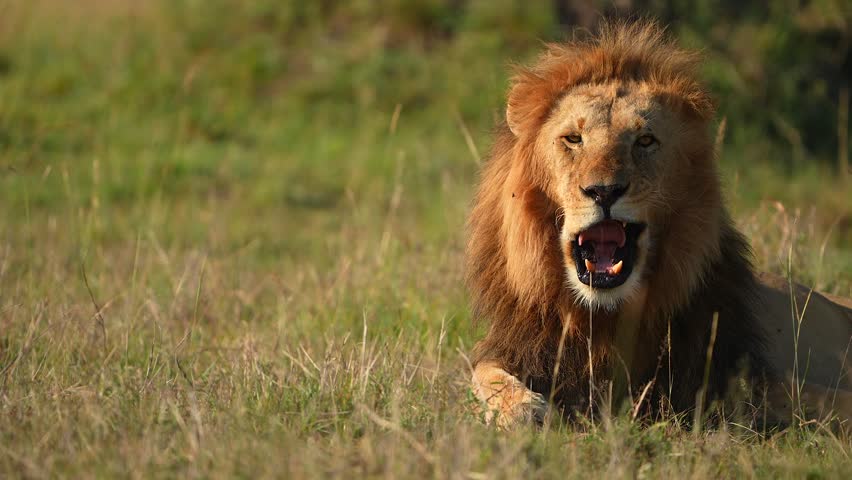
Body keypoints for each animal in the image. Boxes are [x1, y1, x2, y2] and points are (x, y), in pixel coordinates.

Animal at [467, 21, 852, 429]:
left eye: (645, 140)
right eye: (573, 139)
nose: (603, 191)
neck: (607, 315)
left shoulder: (727, 368)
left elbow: (812, 398)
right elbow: (483, 372)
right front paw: (523, 409)